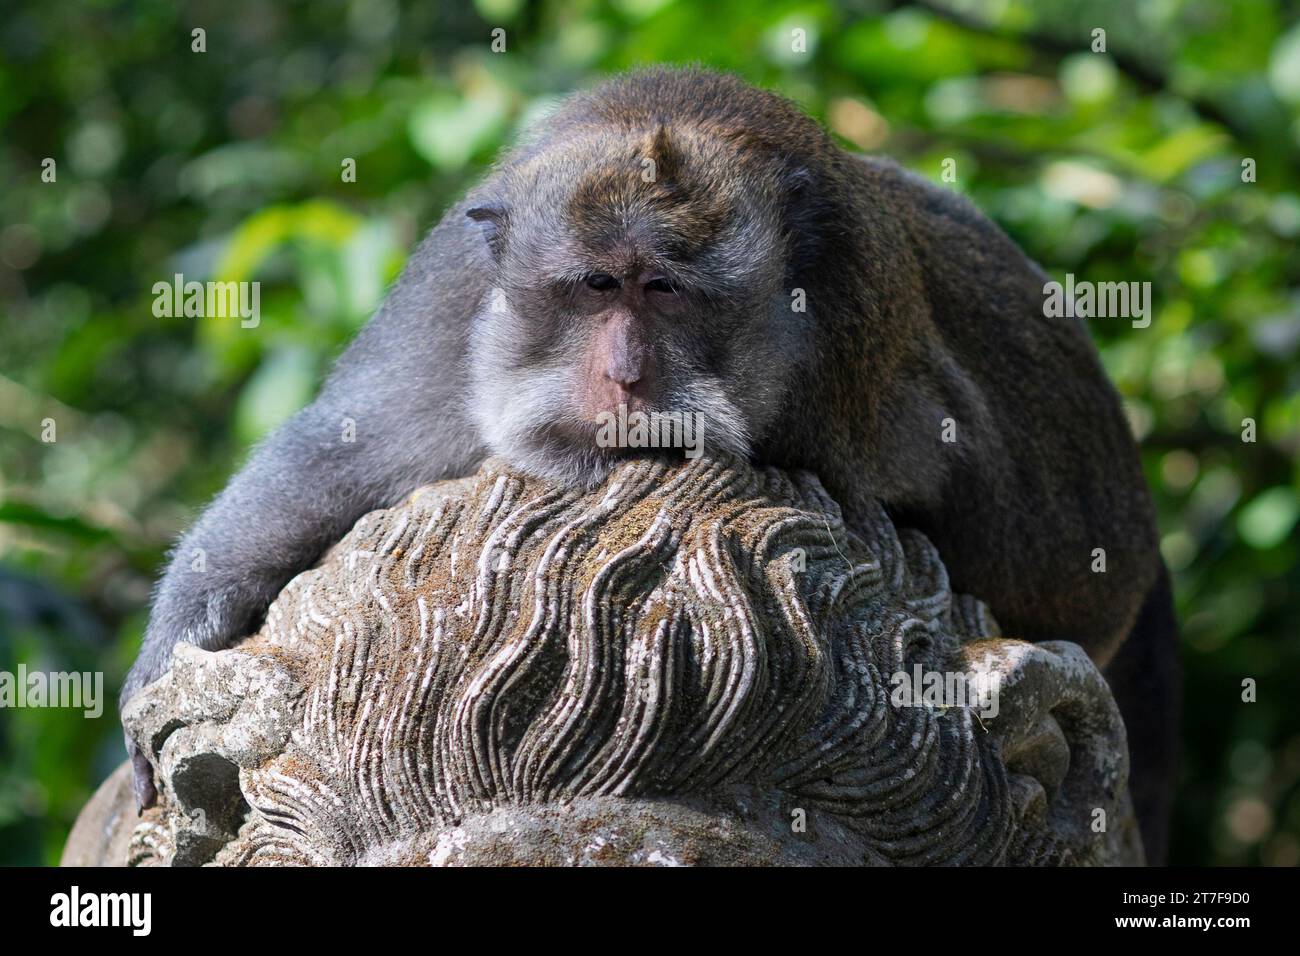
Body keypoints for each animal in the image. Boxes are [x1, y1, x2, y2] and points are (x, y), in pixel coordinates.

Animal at [121, 67, 1179, 861]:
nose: (625, 375)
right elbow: (349, 447)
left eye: (665, 290)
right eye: (596, 287)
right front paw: (179, 635)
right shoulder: (455, 289)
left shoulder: (854, 354)